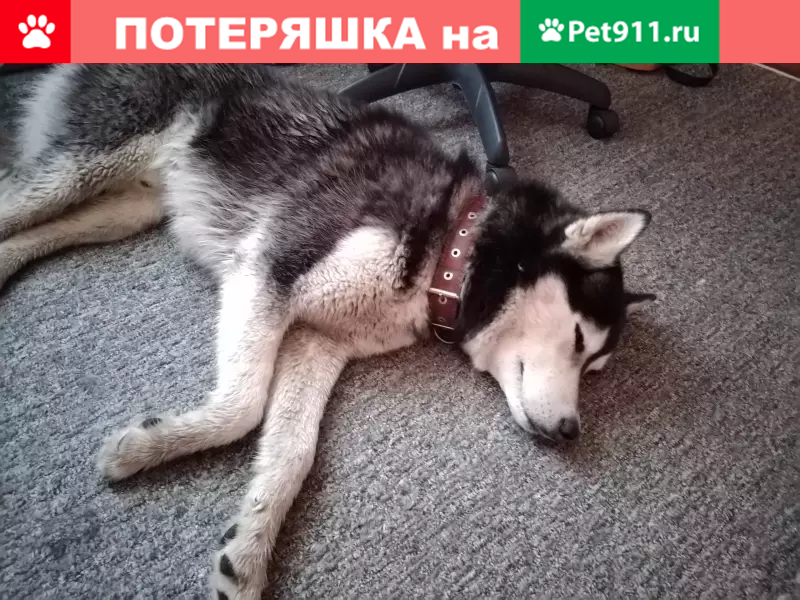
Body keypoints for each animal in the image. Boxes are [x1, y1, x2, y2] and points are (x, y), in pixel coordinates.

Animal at [0, 64, 655, 599]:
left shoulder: (318, 338)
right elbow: (242, 407)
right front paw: (146, 447)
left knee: (43, 229)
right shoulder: (266, 269)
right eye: (578, 342)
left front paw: (249, 552)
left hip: (125, 207)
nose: (571, 432)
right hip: (88, 165)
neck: (454, 247)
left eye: (596, 368)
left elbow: (293, 450)